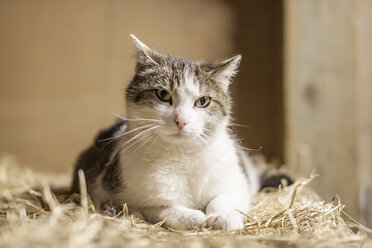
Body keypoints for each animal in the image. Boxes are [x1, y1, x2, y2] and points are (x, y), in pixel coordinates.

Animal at [70, 35, 290, 231]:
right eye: (163, 94)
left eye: (203, 101)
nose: (181, 121)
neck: (184, 155)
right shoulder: (120, 198)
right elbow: (163, 209)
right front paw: (193, 217)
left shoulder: (239, 184)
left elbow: (222, 199)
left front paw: (222, 217)